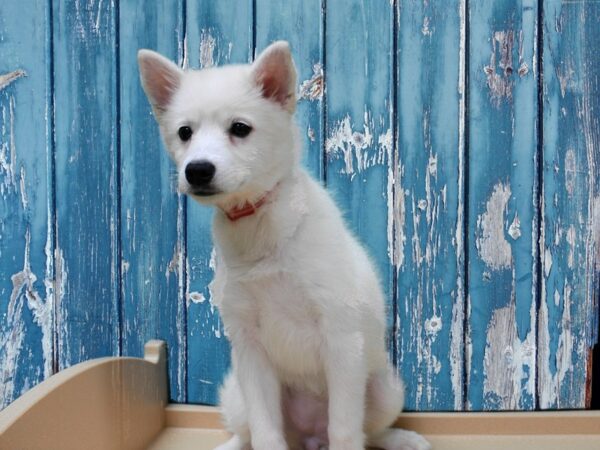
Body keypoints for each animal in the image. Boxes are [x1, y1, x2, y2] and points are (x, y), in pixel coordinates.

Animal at [139, 41, 432, 450]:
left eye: (240, 128)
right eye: (184, 132)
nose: (197, 170)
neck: (257, 223)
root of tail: (309, 436)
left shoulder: (342, 340)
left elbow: (345, 431)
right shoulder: (249, 349)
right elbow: (265, 432)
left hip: (385, 388)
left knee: (369, 432)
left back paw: (402, 438)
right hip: (237, 393)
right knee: (246, 433)